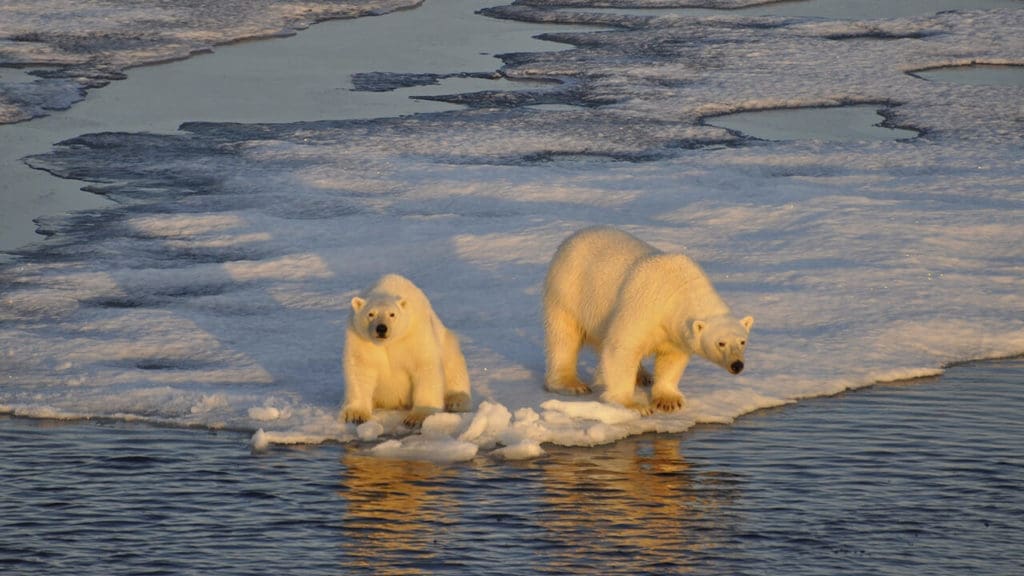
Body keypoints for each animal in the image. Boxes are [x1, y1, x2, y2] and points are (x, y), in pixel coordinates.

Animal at [342, 272, 473, 426]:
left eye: (392, 314)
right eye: (370, 314)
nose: (381, 328)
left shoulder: (414, 333)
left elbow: (424, 366)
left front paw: (417, 417)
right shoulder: (360, 338)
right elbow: (361, 368)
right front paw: (356, 414)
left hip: (448, 344)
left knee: (454, 366)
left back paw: (456, 401)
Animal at [544, 225, 753, 412]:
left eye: (742, 341)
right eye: (721, 343)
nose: (737, 365)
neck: (679, 290)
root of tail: (573, 237)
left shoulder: (675, 330)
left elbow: (672, 358)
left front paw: (668, 401)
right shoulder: (644, 306)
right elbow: (622, 348)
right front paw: (633, 405)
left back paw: (643, 376)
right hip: (568, 292)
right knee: (564, 337)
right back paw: (571, 384)